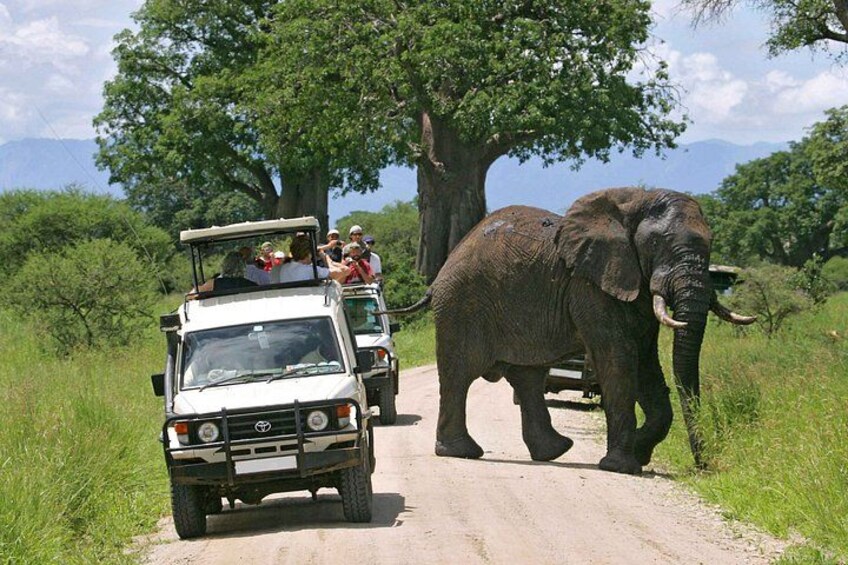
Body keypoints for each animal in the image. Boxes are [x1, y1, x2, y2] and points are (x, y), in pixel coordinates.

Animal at [388, 187, 754, 474]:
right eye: (656, 243)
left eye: (712, 244)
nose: (703, 466)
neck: (635, 200)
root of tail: (439, 274)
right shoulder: (590, 286)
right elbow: (619, 358)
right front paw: (622, 466)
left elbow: (646, 362)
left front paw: (639, 452)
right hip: (462, 305)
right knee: (461, 373)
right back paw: (462, 452)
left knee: (527, 376)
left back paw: (554, 451)